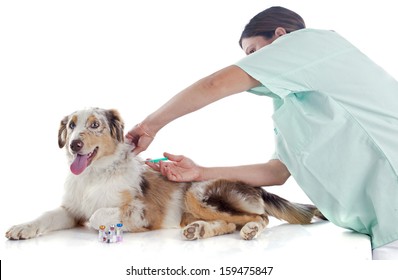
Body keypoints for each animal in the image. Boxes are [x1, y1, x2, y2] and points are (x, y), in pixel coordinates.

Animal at [4, 107, 324, 241]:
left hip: (197, 193)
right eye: (71, 125)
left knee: (258, 218)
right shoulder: (70, 210)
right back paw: (199, 230)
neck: (95, 175)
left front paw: (110, 225)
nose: (74, 144)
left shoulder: (142, 211)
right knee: (228, 223)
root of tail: (256, 186)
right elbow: (45, 217)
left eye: (95, 125)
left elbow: (98, 216)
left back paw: (249, 231)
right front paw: (22, 228)